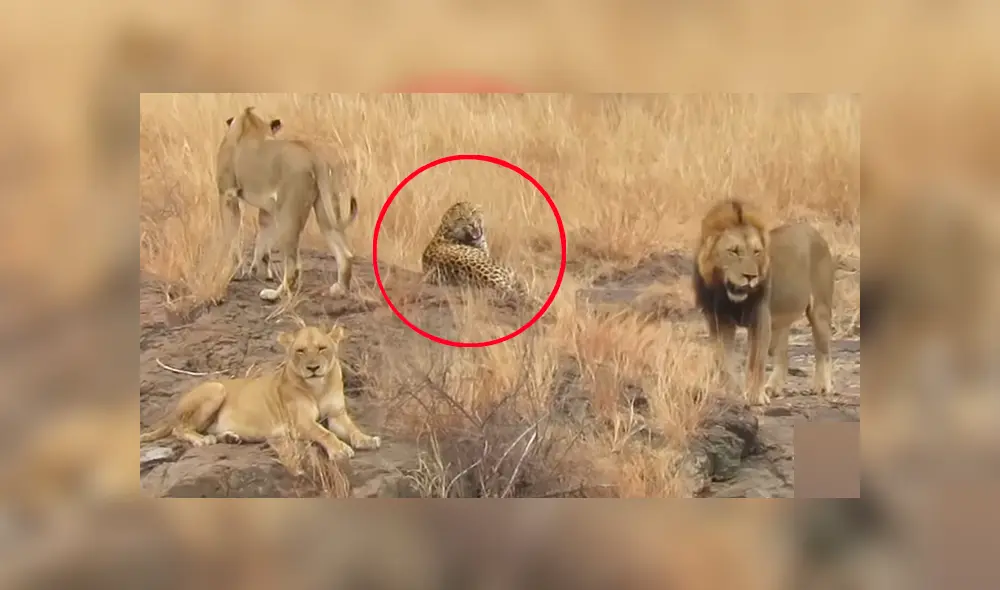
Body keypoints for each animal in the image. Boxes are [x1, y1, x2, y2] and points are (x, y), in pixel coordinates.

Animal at [140, 325, 380, 471]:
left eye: (322, 348)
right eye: (300, 351)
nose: (313, 368)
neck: (317, 386)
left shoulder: (337, 415)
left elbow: (352, 429)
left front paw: (367, 440)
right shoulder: (300, 422)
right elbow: (325, 433)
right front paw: (340, 450)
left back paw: (230, 437)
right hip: (216, 388)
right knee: (179, 428)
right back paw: (202, 440)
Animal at [216, 106, 359, 302]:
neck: (250, 125)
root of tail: (312, 154)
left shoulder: (227, 194)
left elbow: (232, 237)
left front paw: (235, 271)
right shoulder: (267, 209)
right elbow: (263, 244)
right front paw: (259, 272)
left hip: (288, 215)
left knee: (293, 267)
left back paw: (273, 295)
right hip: (326, 208)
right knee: (345, 254)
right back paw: (339, 290)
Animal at [693, 198, 835, 406]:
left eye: (756, 252)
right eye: (733, 251)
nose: (751, 276)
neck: (727, 295)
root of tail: (815, 232)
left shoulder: (760, 318)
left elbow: (756, 360)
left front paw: (755, 397)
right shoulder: (718, 320)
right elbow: (723, 360)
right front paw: (730, 392)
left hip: (819, 310)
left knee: (823, 349)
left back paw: (822, 385)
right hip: (780, 321)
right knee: (782, 353)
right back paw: (773, 387)